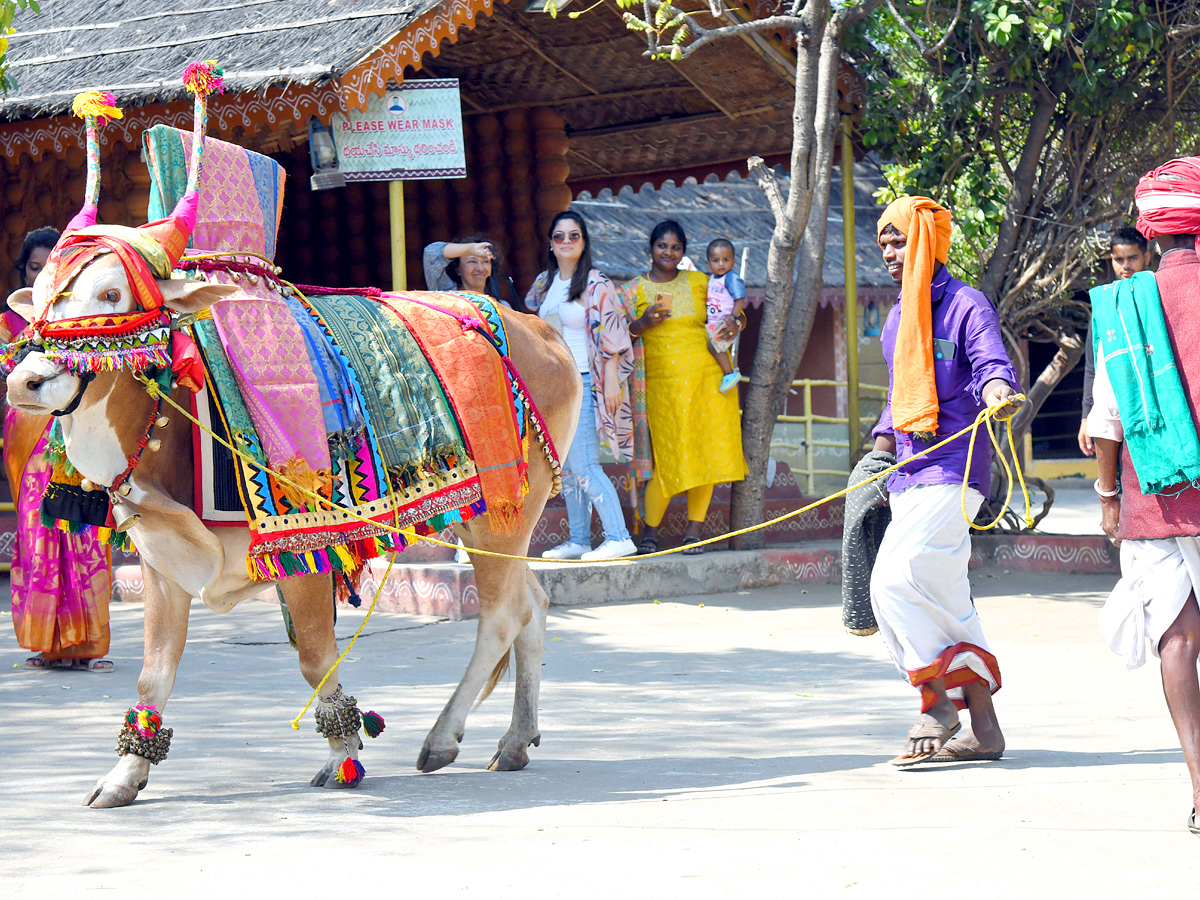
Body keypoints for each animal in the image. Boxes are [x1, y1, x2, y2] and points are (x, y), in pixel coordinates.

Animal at [0, 63, 580, 811]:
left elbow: (312, 657)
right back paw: (514, 740)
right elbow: (154, 672)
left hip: (508, 509)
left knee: (504, 615)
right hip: (497, 519)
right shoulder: (161, 560)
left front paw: (343, 752)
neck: (174, 417)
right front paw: (124, 773)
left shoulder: (305, 551)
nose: (27, 381)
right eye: (41, 290)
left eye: (110, 295)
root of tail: (534, 326)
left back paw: (443, 737)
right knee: (532, 605)